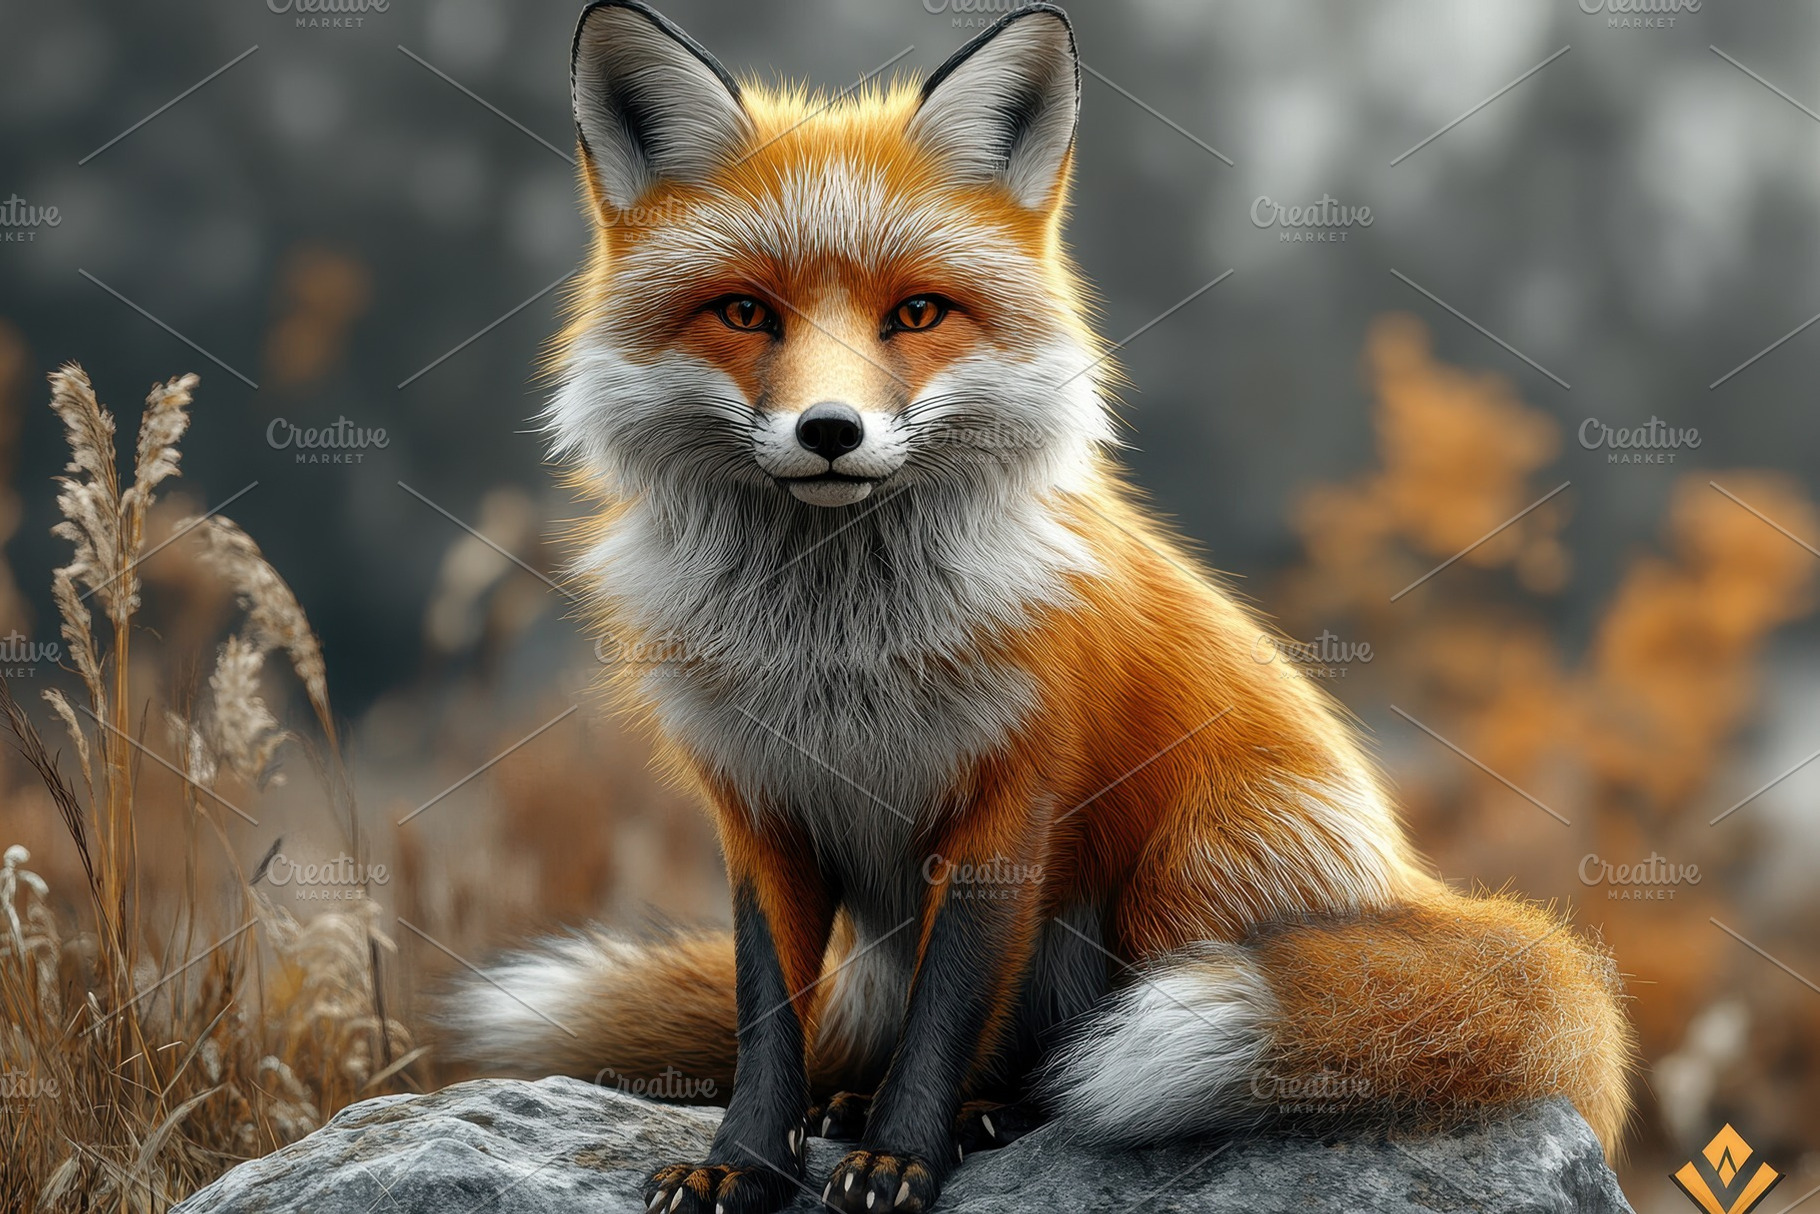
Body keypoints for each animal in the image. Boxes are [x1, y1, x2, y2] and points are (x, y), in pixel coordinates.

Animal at [440, 4, 1636, 1212]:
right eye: (744, 312)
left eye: (916, 313)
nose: (830, 431)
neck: (839, 651)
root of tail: (1406, 883)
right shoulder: (760, 808)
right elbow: (766, 1025)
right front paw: (742, 1164)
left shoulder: (1009, 801)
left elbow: (950, 1008)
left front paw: (900, 1158)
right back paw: (864, 1100)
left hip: (1180, 874)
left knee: (1060, 1049)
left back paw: (995, 1112)